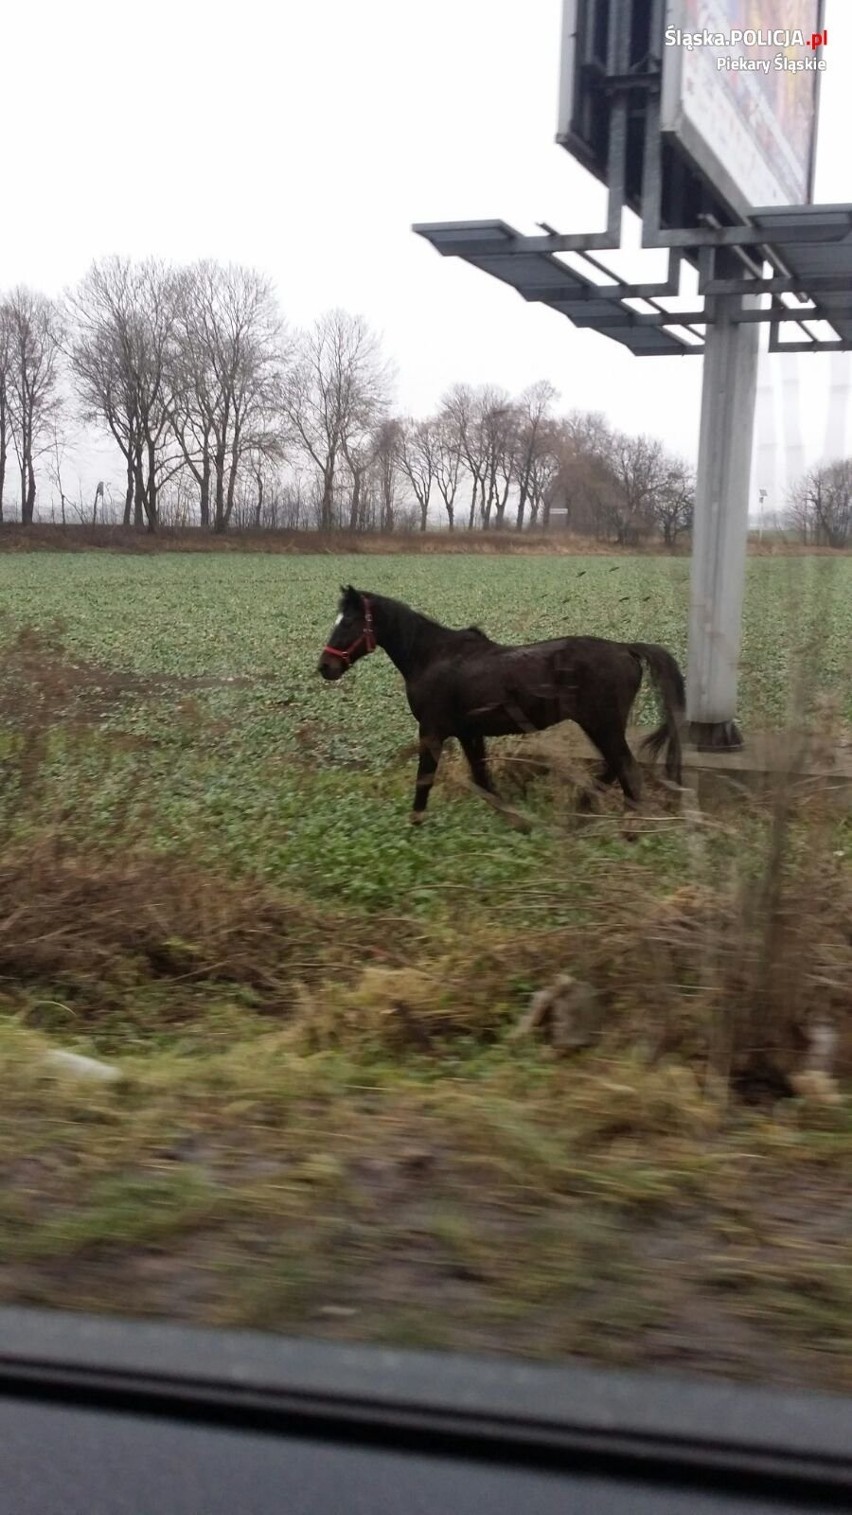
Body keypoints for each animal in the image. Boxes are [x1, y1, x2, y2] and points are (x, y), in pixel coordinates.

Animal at [318, 587, 682, 824]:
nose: (325, 667)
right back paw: (582, 810)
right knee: (614, 767)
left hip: (602, 724)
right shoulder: (468, 733)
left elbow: (426, 779)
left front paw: (416, 822)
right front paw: (514, 819)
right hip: (601, 725)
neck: (432, 656)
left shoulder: (432, 731)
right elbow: (483, 780)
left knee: (625, 768)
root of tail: (626, 649)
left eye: (348, 622)